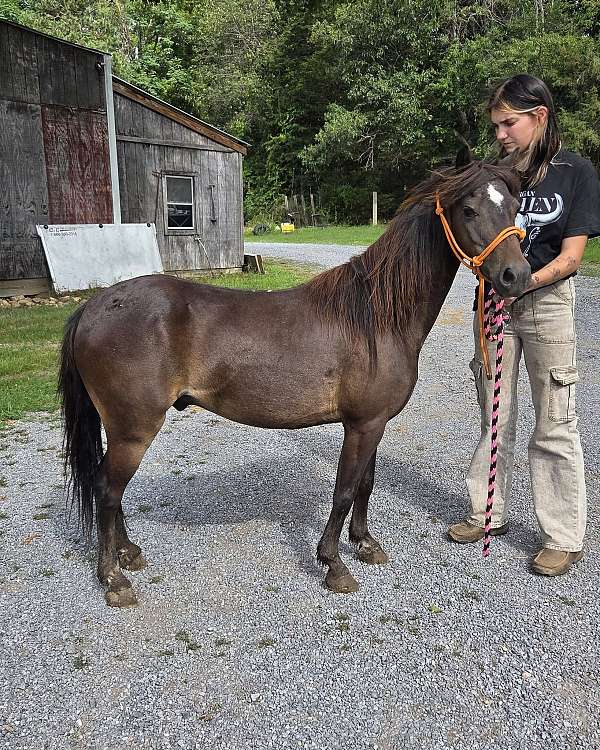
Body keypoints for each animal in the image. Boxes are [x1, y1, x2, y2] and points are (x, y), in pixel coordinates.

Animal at [59, 153, 530, 607]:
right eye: (468, 209)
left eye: (514, 206)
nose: (517, 276)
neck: (377, 317)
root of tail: (95, 306)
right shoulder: (362, 425)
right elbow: (344, 491)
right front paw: (334, 565)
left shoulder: (375, 422)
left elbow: (366, 485)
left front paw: (365, 544)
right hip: (134, 429)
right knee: (106, 489)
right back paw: (114, 579)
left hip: (124, 430)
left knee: (110, 490)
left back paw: (128, 554)